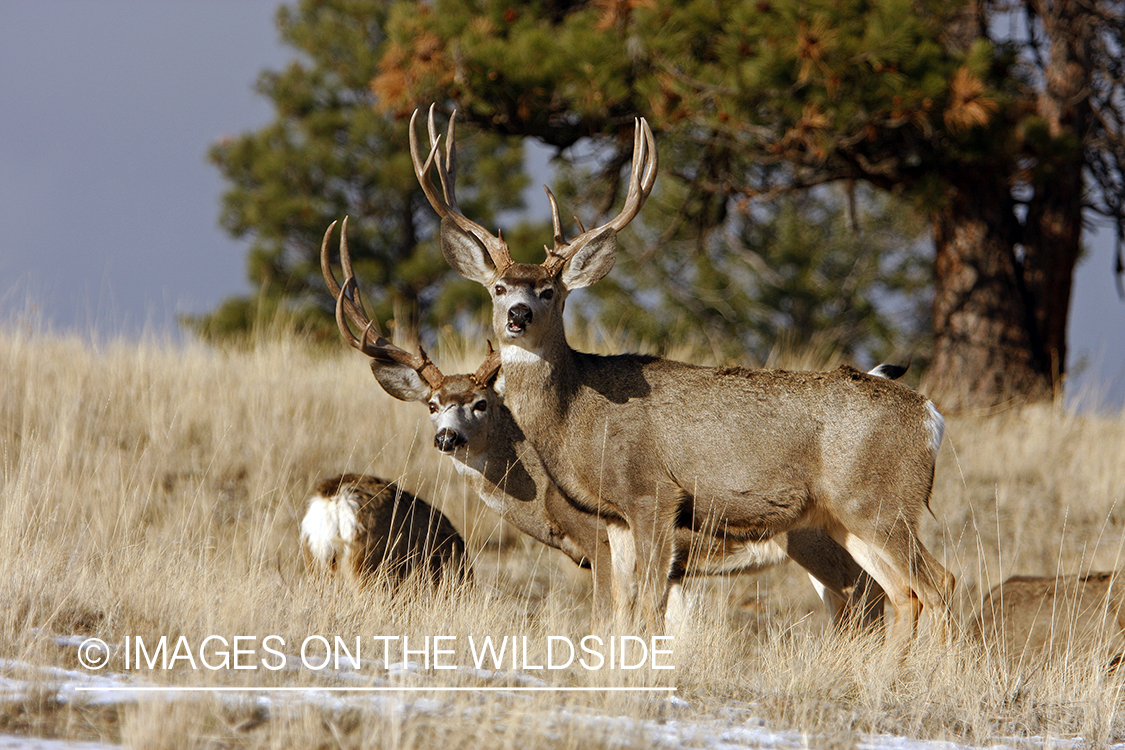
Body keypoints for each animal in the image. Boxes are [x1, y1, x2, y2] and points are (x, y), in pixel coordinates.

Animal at [321, 217, 887, 632]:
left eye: (482, 403)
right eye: (433, 404)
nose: (447, 437)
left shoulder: (601, 541)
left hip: (823, 535)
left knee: (871, 597)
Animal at [408, 105, 953, 645]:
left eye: (549, 291)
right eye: (499, 287)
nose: (517, 316)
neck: (578, 417)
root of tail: (930, 414)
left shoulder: (652, 493)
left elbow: (646, 605)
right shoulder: (616, 520)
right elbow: (624, 611)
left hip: (880, 501)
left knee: (936, 583)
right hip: (844, 516)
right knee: (900, 593)